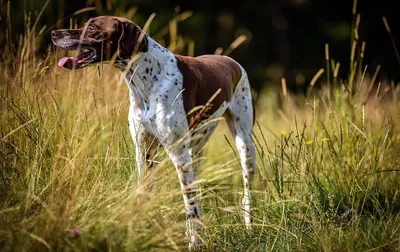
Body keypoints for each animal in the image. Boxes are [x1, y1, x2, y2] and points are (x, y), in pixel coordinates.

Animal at [50, 15, 256, 248]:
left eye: (93, 28)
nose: (54, 34)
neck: (148, 79)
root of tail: (232, 61)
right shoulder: (145, 152)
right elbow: (146, 194)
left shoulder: (178, 154)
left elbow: (190, 204)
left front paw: (194, 243)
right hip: (195, 150)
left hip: (244, 146)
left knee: (244, 192)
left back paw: (248, 226)